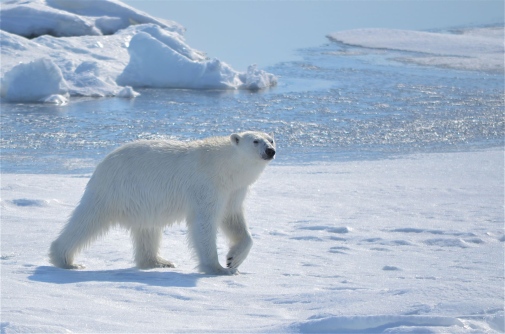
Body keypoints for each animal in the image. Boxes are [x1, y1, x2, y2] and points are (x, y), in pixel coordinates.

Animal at [50, 130, 276, 274]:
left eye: (271, 140)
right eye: (255, 141)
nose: (270, 151)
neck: (224, 167)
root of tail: (103, 163)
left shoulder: (233, 190)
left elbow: (233, 219)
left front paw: (233, 259)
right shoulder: (206, 186)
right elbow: (204, 222)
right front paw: (218, 269)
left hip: (141, 200)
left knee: (147, 228)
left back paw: (158, 261)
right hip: (116, 190)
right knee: (87, 221)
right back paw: (66, 261)